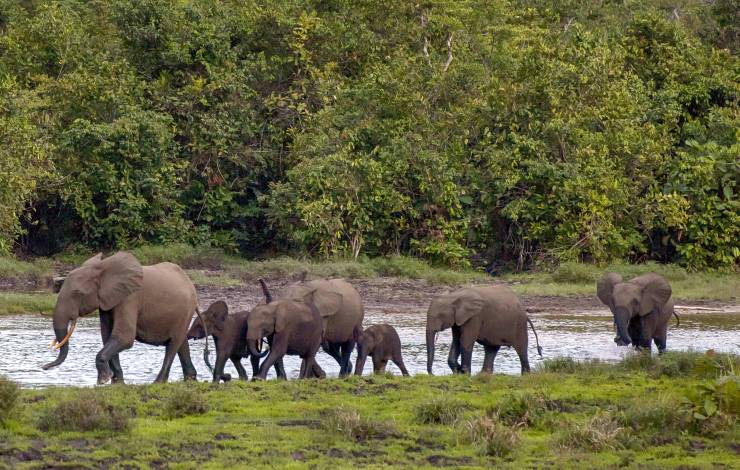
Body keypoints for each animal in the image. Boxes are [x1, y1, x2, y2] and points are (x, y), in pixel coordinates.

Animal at [43, 252, 208, 384]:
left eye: (78, 294)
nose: (44, 367)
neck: (102, 269)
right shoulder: (107, 301)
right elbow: (108, 336)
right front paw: (116, 382)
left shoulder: (130, 297)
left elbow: (124, 336)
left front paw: (103, 380)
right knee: (181, 343)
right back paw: (190, 379)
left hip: (186, 310)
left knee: (173, 345)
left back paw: (158, 383)